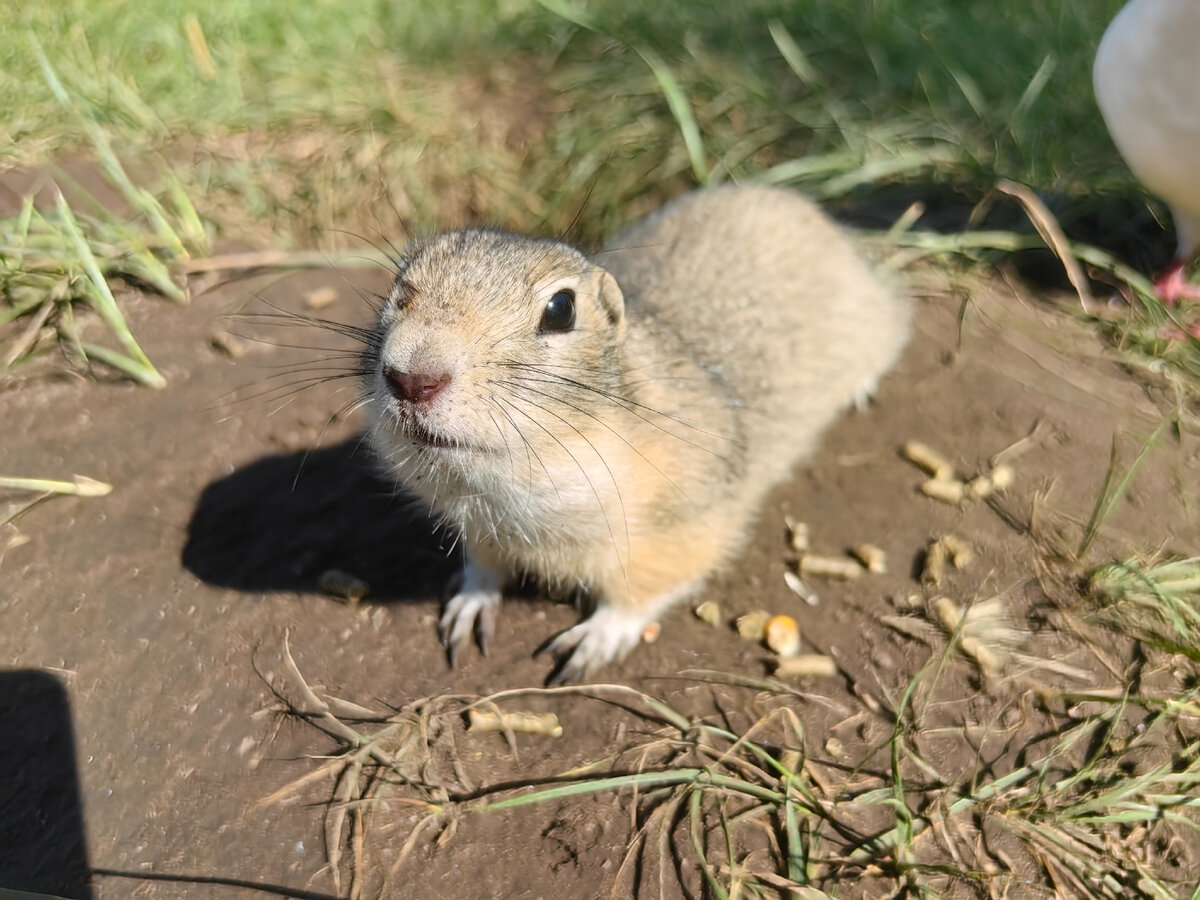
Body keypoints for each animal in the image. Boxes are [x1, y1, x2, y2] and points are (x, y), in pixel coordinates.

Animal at [364, 187, 907, 681]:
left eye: (561, 309)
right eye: (400, 288)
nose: (411, 378)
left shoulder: (686, 519)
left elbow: (645, 589)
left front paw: (594, 642)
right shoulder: (479, 526)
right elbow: (482, 564)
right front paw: (470, 605)